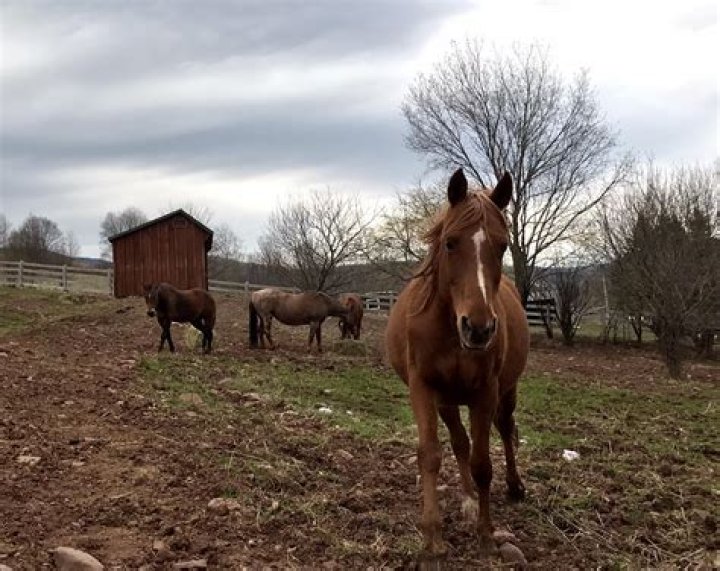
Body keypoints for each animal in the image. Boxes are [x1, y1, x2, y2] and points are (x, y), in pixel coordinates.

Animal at [385, 168, 530, 560]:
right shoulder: (424, 388)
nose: (478, 328)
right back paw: (466, 499)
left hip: (506, 392)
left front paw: (485, 534)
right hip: (447, 400)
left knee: (505, 429)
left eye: (503, 246)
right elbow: (432, 455)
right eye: (450, 243)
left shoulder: (486, 392)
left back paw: (514, 486)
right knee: (460, 442)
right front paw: (432, 539)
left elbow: (483, 464)